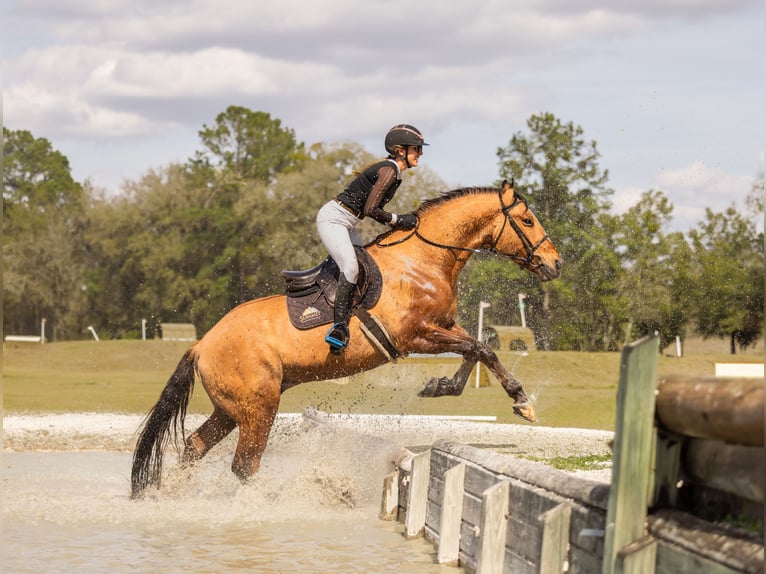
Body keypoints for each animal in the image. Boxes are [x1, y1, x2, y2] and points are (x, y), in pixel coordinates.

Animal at [131, 180, 562, 498]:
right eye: (526, 221)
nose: (555, 264)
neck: (422, 260)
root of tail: (201, 345)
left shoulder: (442, 326)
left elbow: (476, 351)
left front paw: (442, 387)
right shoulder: (415, 336)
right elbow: (480, 348)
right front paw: (520, 401)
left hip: (230, 410)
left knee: (194, 447)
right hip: (258, 409)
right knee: (244, 465)